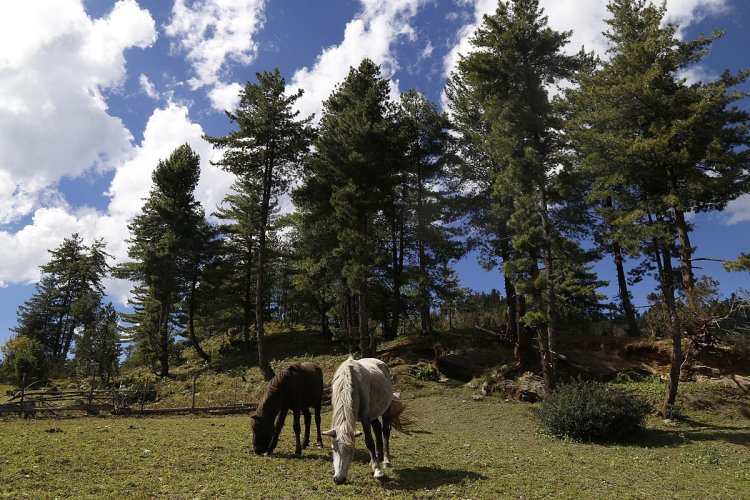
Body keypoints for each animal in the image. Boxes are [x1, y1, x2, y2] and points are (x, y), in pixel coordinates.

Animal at [324, 358, 394, 486]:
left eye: (351, 449)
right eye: (333, 448)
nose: (339, 479)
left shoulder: (365, 418)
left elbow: (369, 442)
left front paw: (378, 471)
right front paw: (375, 464)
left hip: (386, 409)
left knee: (385, 431)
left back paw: (386, 460)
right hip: (373, 413)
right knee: (377, 428)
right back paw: (377, 458)